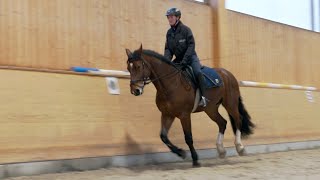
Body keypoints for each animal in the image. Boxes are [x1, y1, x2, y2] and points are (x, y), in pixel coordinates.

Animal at [125, 44, 255, 167]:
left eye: (138, 66)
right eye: (128, 68)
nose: (135, 90)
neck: (171, 84)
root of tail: (227, 73)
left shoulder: (184, 115)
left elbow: (188, 138)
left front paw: (195, 159)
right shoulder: (167, 114)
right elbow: (163, 136)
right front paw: (181, 153)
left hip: (230, 104)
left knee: (238, 120)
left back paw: (240, 147)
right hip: (211, 109)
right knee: (222, 123)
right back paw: (221, 150)